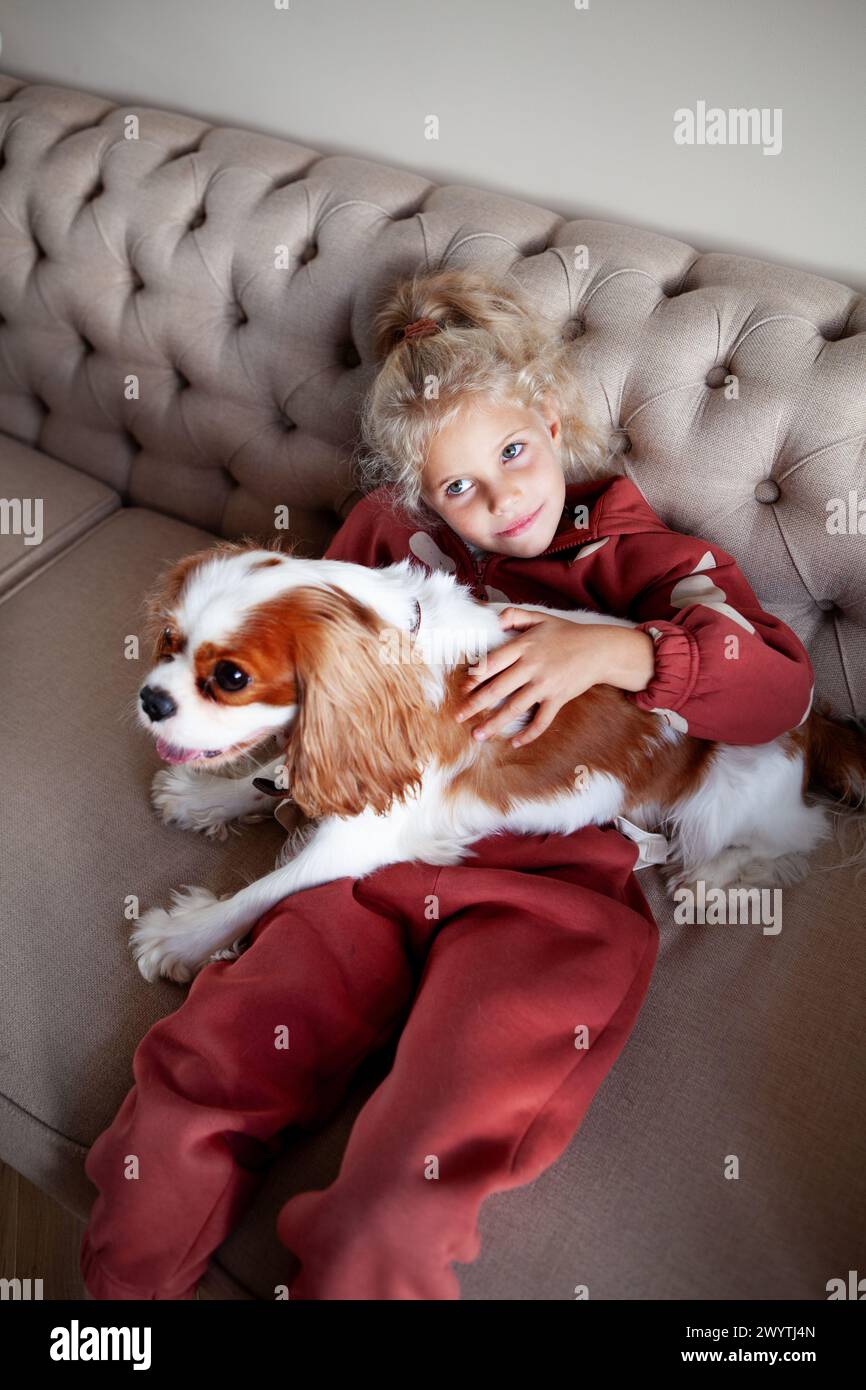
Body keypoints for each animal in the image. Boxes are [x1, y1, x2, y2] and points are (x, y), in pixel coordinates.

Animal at [132, 536, 866, 984]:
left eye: (230, 678)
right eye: (167, 642)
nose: (150, 698)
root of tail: (815, 719)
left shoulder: (366, 837)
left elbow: (263, 891)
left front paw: (182, 936)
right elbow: (271, 782)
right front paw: (204, 797)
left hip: (725, 795)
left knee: (792, 840)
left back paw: (713, 878)